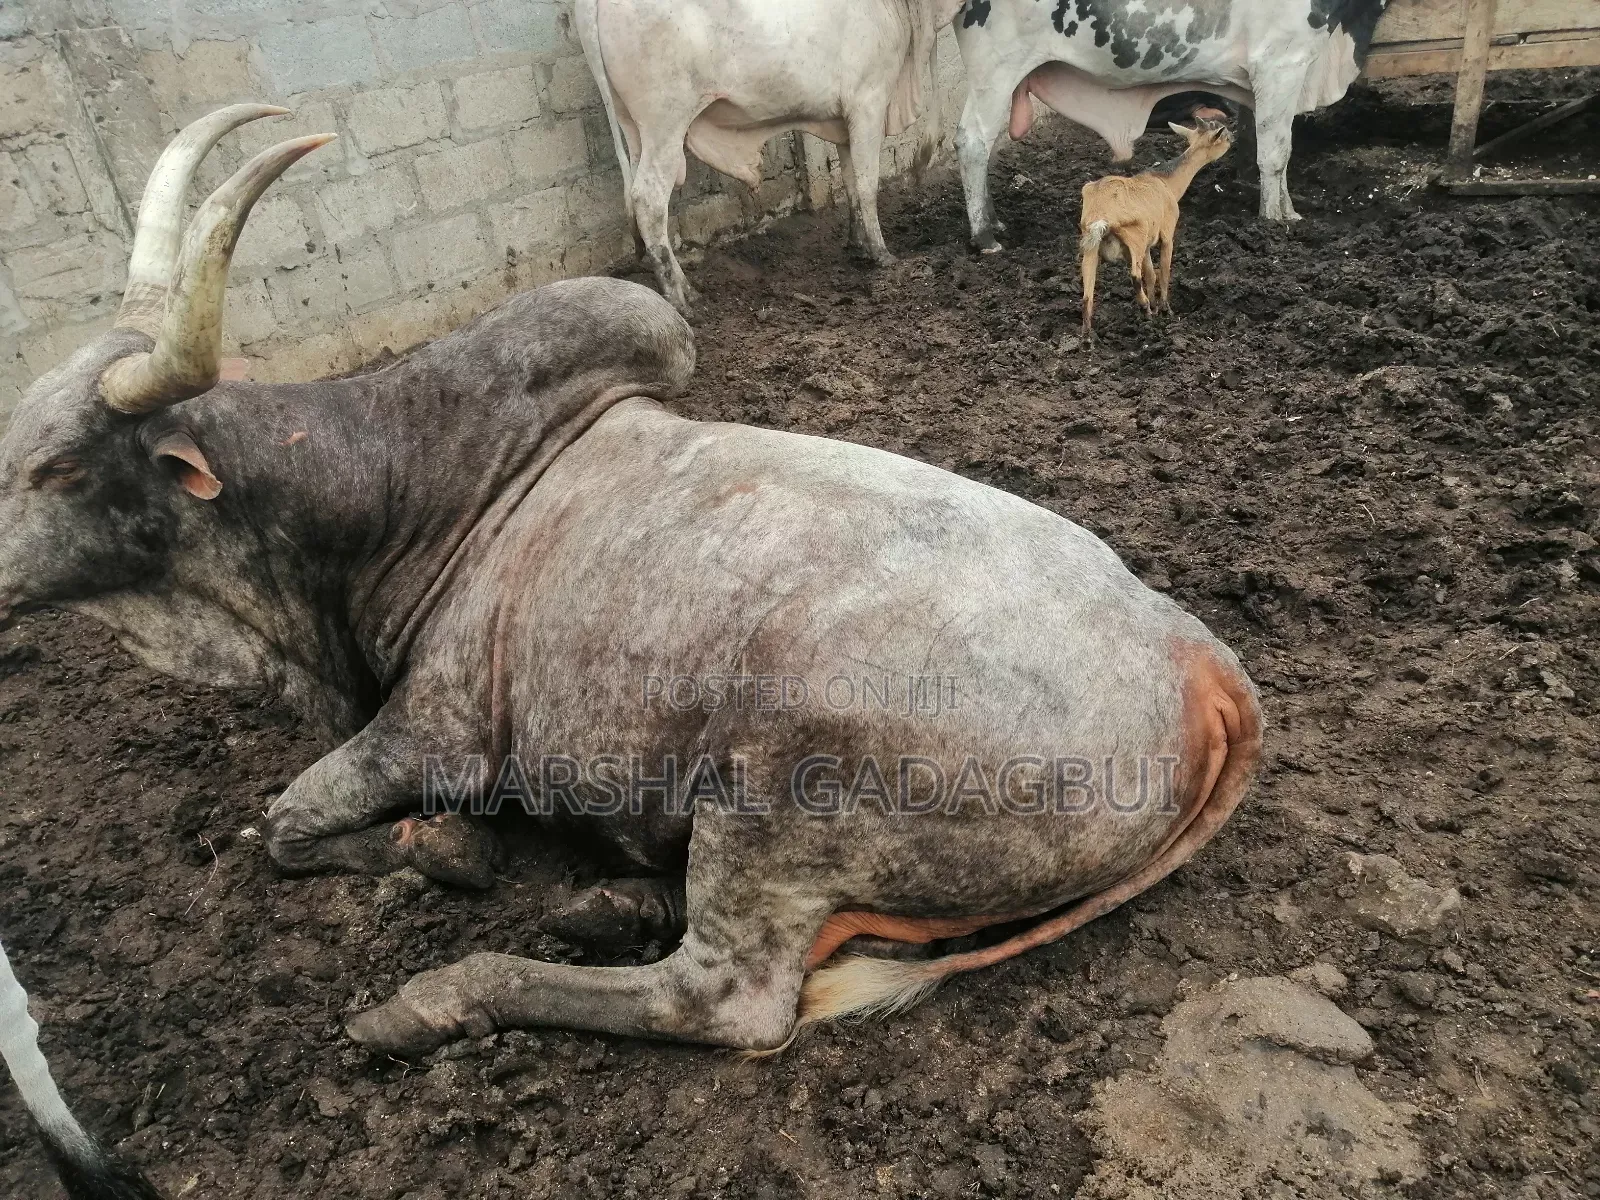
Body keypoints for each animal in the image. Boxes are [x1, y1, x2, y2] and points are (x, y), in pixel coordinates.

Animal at [0, 105, 1262, 1069]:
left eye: (58, 468)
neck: (405, 488)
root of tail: (1203, 664)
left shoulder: (436, 733)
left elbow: (281, 825)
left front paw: (445, 855)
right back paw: (610, 899)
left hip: (776, 798)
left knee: (724, 997)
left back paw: (446, 993)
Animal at [575, 0, 963, 313]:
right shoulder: (868, 103)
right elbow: (868, 185)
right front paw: (882, 255)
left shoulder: (844, 120)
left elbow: (851, 182)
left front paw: (858, 244)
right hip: (665, 124)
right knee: (648, 200)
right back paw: (680, 298)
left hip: (635, 130)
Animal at [951, 0, 1390, 248]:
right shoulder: (1280, 62)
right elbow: (1275, 154)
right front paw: (1274, 219)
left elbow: (1283, 150)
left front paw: (1290, 212)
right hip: (997, 64)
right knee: (973, 141)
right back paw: (984, 235)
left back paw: (993, 220)